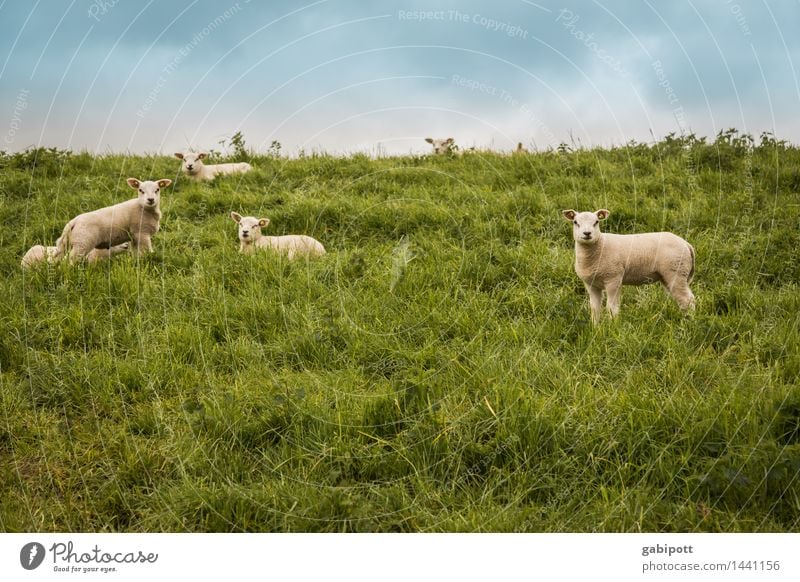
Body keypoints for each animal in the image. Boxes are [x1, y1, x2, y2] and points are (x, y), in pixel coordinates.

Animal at [564, 209, 692, 324]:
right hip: (668, 276)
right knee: (682, 300)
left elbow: (612, 307)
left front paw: (612, 326)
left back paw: (688, 322)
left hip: (676, 272)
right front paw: (595, 327)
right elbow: (595, 309)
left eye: (596, 222)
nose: (587, 233)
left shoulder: (613, 279)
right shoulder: (591, 284)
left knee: (688, 300)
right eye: (575, 222)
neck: (600, 246)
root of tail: (686, 244)